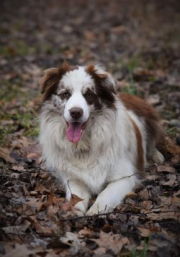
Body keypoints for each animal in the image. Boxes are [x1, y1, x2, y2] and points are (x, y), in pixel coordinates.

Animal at [39, 61, 165, 215]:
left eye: (89, 94)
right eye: (65, 94)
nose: (76, 112)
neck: (85, 144)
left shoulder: (124, 177)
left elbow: (105, 195)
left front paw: (94, 212)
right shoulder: (73, 178)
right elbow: (77, 196)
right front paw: (74, 212)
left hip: (152, 122)